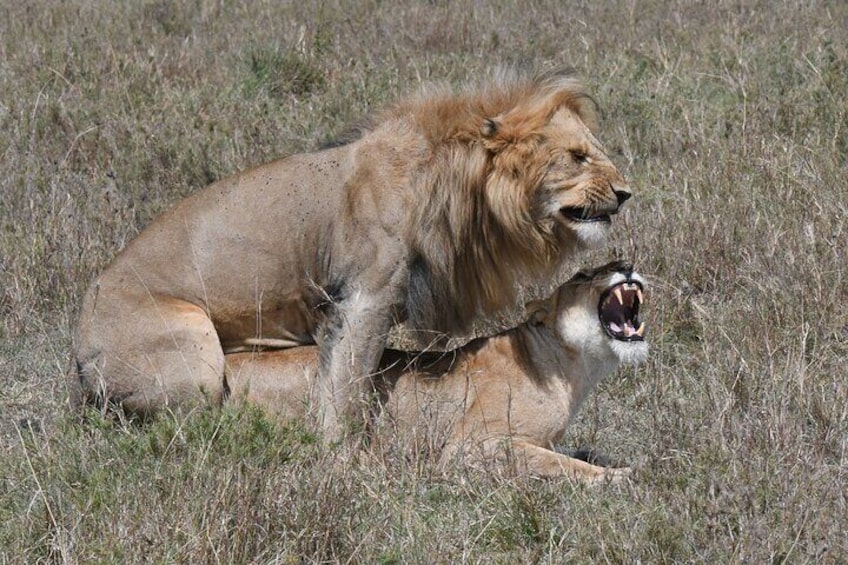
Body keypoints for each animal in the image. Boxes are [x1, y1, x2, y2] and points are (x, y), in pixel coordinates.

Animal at [69, 68, 632, 439]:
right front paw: (341, 456)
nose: (627, 193)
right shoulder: (365, 297)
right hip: (197, 357)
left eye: (597, 153)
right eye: (577, 157)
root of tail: (77, 346)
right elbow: (347, 382)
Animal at [225, 261, 649, 482]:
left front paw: (616, 462)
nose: (627, 265)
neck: (575, 367)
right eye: (582, 276)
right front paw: (619, 477)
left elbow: (576, 451)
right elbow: (561, 464)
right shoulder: (472, 446)